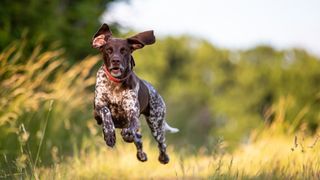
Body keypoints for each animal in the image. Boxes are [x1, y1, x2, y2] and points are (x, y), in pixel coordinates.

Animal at [91, 23, 179, 165]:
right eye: (108, 50)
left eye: (124, 50)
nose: (116, 61)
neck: (115, 84)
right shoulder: (98, 110)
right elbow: (106, 112)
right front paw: (109, 134)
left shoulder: (133, 114)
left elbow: (129, 129)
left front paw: (125, 134)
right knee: (139, 139)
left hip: (156, 124)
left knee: (161, 143)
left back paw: (162, 157)